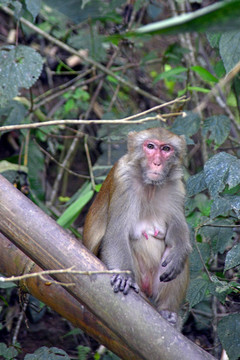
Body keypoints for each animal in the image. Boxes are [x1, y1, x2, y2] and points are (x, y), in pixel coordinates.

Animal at [83, 126, 192, 326]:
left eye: (166, 149)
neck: (150, 187)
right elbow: (116, 234)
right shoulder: (122, 179)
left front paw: (180, 250)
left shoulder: (177, 186)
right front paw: (125, 276)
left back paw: (167, 311)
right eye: (150, 146)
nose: (157, 163)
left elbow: (177, 230)